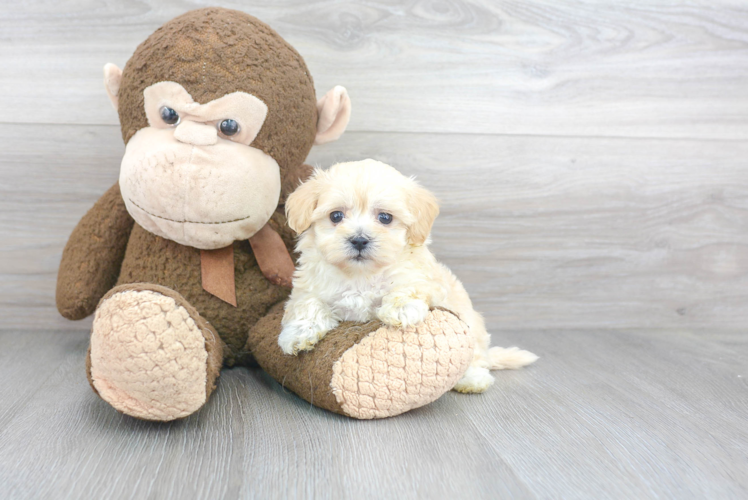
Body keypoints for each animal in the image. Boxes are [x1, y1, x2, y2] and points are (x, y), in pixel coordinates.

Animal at [278, 158, 536, 392]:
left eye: (385, 217)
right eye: (336, 216)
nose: (359, 240)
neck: (361, 274)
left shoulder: (424, 280)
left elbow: (410, 286)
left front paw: (401, 308)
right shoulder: (308, 286)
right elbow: (307, 304)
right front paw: (298, 335)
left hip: (472, 327)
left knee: (475, 358)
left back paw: (472, 379)